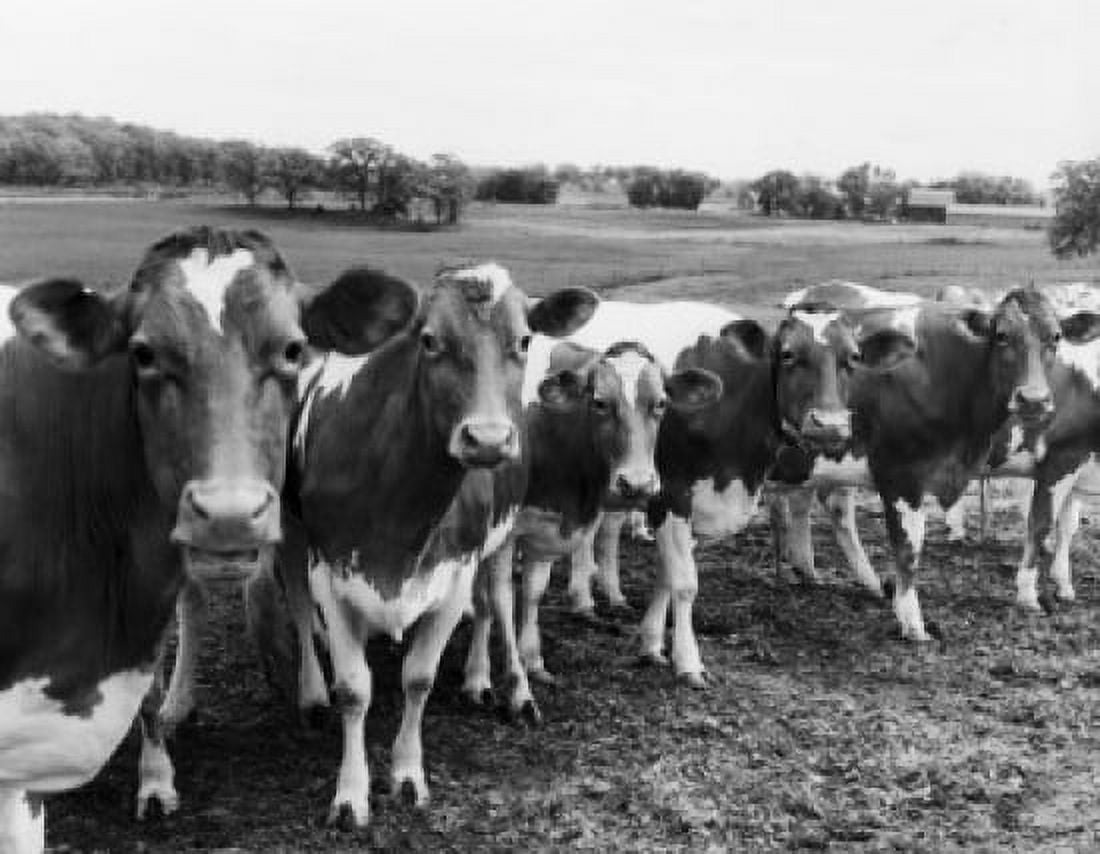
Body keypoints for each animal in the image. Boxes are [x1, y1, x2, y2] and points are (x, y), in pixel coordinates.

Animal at [282, 262, 597, 829]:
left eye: (524, 339)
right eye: (429, 340)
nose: (488, 439)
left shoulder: (452, 575)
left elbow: (419, 678)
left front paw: (407, 775)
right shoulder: (331, 573)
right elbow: (353, 689)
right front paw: (351, 794)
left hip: (497, 539)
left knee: (497, 602)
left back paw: (504, 687)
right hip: (291, 530)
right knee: (296, 602)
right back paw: (311, 691)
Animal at [460, 339, 722, 721]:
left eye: (660, 403)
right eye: (599, 402)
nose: (637, 483)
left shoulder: (546, 527)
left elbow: (533, 592)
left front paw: (532, 660)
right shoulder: (503, 535)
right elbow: (498, 601)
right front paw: (513, 689)